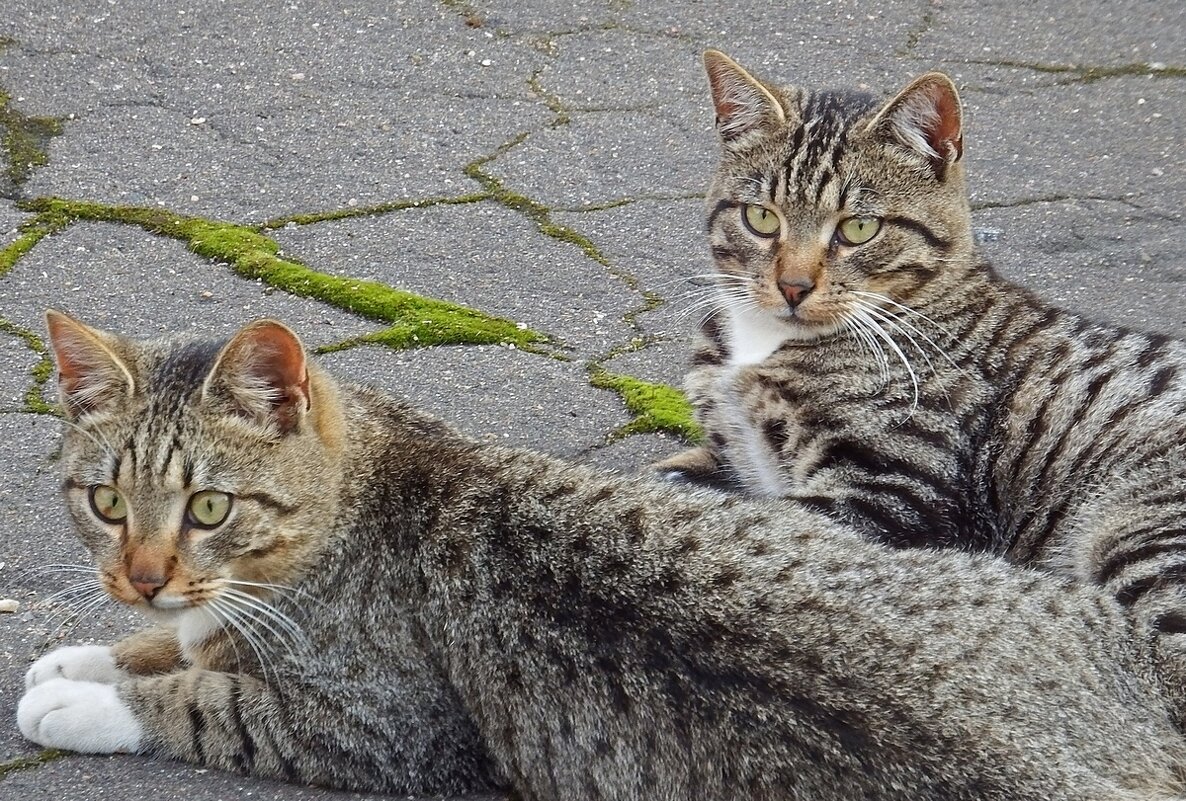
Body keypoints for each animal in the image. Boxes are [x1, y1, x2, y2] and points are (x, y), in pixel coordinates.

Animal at [18, 310, 1186, 797]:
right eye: (107, 502)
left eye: (209, 505)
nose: (140, 575)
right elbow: (185, 644)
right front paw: (98, 649)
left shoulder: (386, 733)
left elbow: (203, 701)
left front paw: (90, 696)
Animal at [659, 50, 1186, 711]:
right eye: (761, 218)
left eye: (858, 228)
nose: (793, 286)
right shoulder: (733, 450)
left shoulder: (897, 492)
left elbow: (773, 521)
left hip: (1140, 528)